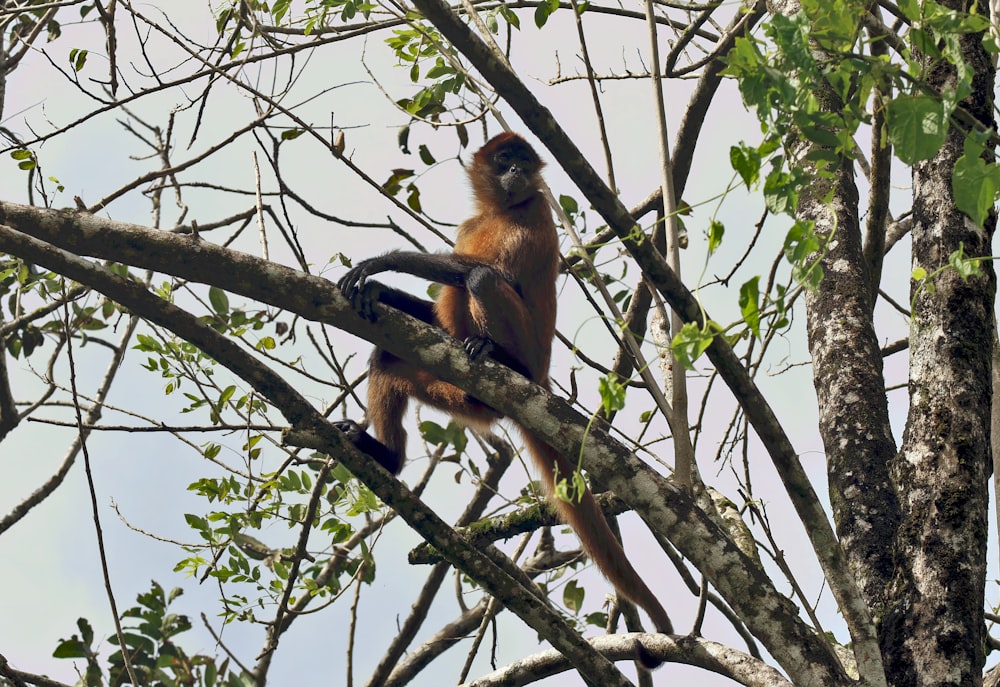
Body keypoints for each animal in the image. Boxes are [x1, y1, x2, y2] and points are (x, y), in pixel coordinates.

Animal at [334, 132, 672, 660]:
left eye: (522, 164)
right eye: (504, 161)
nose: (515, 173)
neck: (499, 209)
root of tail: (540, 378)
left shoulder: (535, 208)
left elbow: (481, 273)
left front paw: (383, 264)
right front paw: (382, 290)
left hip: (523, 354)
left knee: (482, 278)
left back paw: (499, 357)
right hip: (459, 394)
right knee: (387, 359)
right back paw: (387, 457)